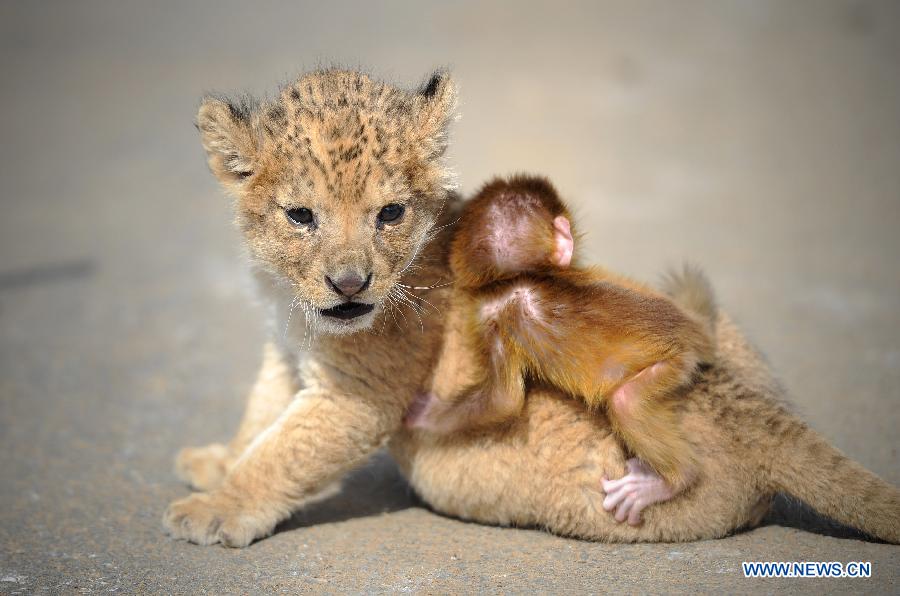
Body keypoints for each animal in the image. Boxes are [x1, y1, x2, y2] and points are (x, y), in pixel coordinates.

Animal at [408, 175, 716, 524]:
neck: (519, 278)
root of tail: (693, 331)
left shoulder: (492, 317)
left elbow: (502, 400)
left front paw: (425, 415)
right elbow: (502, 399)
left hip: (674, 363)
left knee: (626, 401)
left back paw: (673, 480)